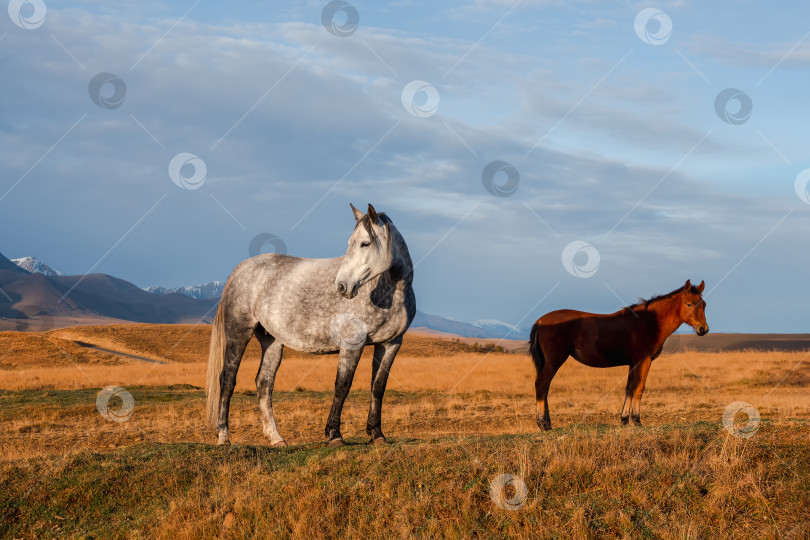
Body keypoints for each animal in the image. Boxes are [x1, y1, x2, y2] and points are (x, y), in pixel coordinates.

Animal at [205, 204, 414, 448]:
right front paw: (334, 435)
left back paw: (276, 438)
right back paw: (223, 436)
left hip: (272, 341)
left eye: (365, 243)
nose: (342, 286)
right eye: (350, 243)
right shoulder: (353, 342)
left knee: (264, 383)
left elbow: (378, 387)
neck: (389, 291)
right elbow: (342, 385)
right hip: (238, 333)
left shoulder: (391, 344)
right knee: (227, 380)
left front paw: (377, 434)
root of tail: (240, 270)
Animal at [528, 280, 704, 428]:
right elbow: (639, 388)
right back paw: (543, 424)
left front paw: (625, 420)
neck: (648, 322)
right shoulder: (644, 360)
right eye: (689, 304)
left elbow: (629, 388)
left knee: (545, 387)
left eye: (704, 304)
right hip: (554, 360)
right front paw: (637, 421)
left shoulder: (633, 363)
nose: (703, 329)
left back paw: (547, 423)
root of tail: (541, 321)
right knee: (542, 384)